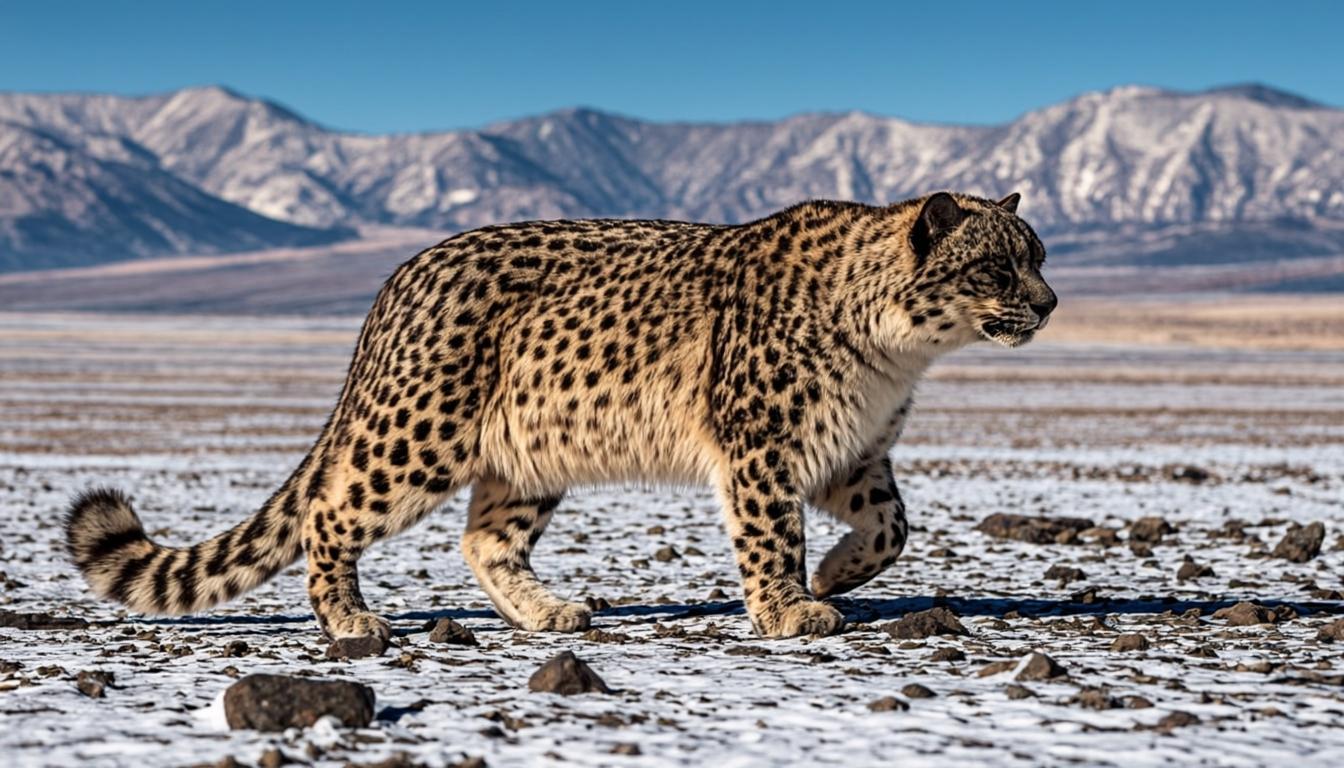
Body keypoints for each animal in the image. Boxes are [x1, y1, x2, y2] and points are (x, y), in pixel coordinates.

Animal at [65, 191, 1055, 642]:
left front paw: (838, 575)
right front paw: (790, 606)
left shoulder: (857, 453)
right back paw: (350, 620)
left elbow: (893, 526)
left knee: (484, 538)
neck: (898, 347)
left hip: (531, 455)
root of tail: (399, 277)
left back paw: (549, 613)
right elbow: (771, 534)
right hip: (419, 435)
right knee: (329, 512)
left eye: (1039, 254)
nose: (1049, 304)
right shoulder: (762, 449)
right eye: (998, 265)